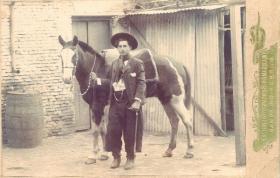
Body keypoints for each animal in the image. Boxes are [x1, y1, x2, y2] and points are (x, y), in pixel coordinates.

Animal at [58, 34, 195, 163]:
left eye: (74, 56)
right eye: (60, 56)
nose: (66, 79)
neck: (96, 69)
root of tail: (178, 65)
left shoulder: (97, 105)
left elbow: (96, 131)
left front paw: (93, 156)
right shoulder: (98, 106)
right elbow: (102, 130)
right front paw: (104, 154)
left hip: (176, 100)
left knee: (187, 121)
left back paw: (189, 151)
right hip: (166, 100)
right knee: (174, 121)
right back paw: (169, 150)